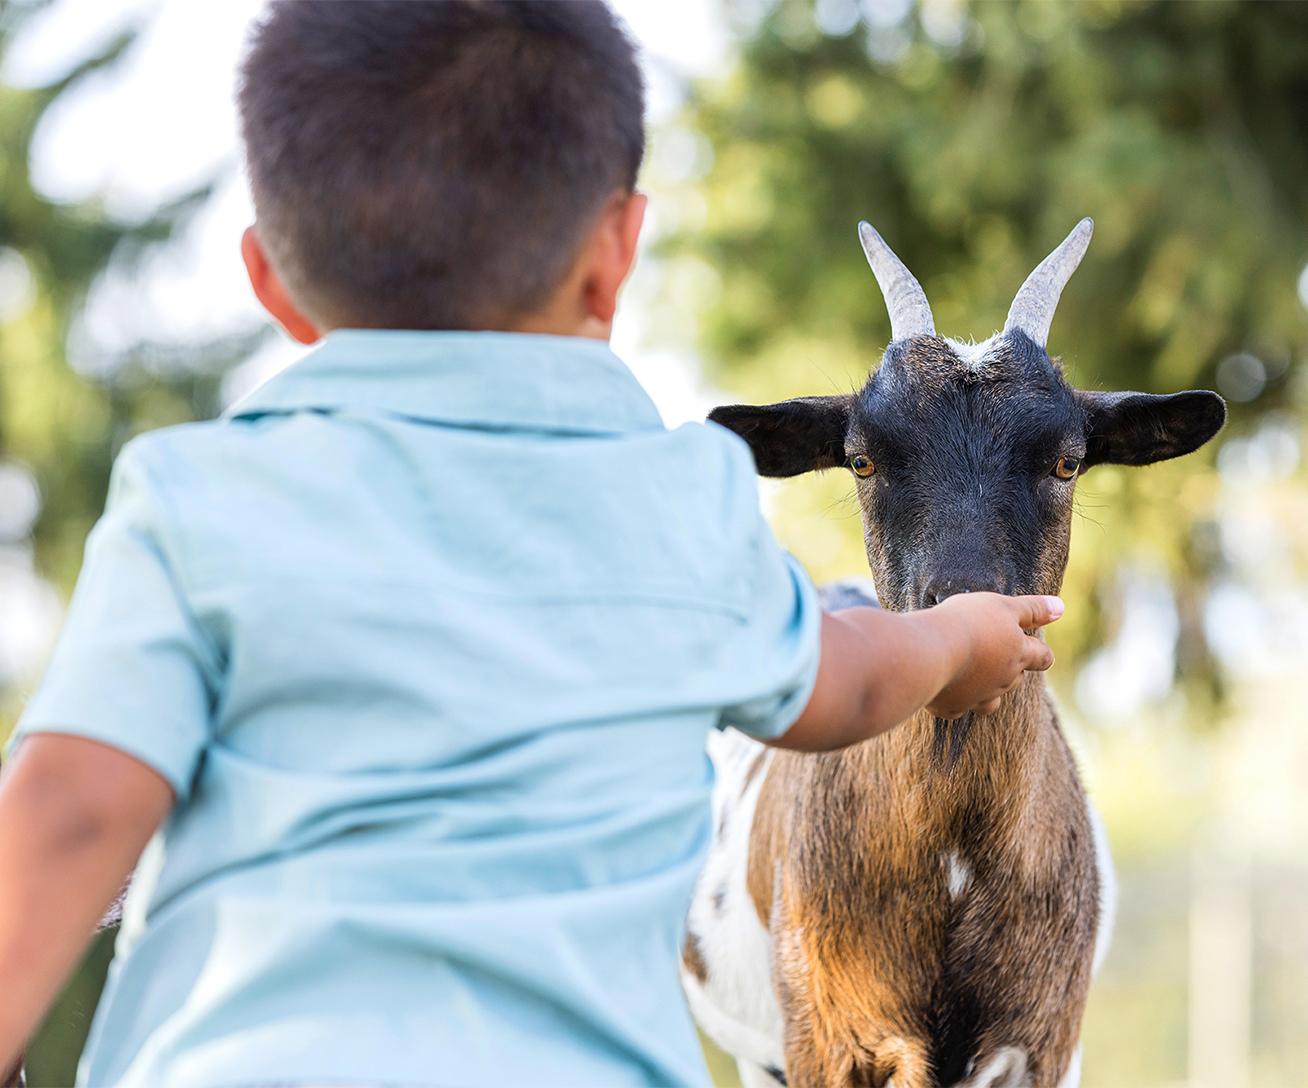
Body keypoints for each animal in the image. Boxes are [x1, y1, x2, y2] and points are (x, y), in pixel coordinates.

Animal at [681, 218, 1226, 1088]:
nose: (970, 614)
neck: (952, 867)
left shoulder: (1044, 1044)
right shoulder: (828, 1041)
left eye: (1067, 461)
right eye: (862, 460)